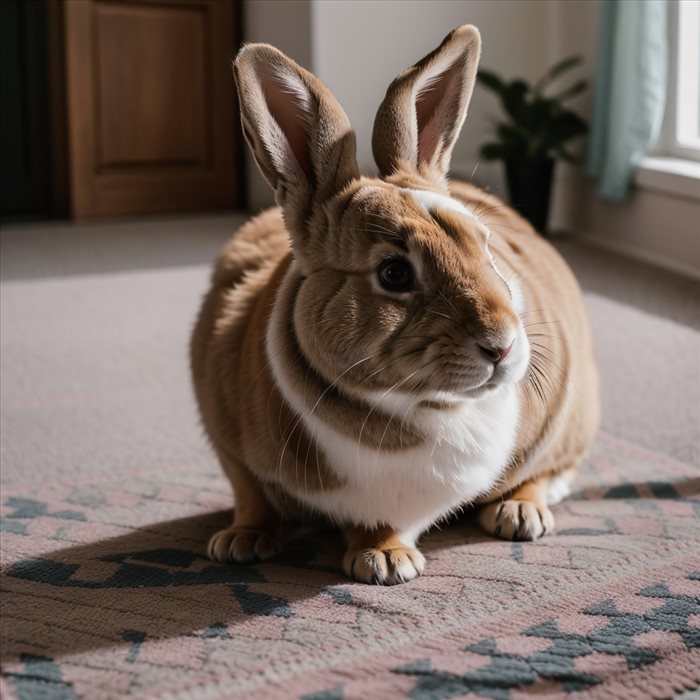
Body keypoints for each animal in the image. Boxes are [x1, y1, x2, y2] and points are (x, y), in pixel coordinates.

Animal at [191, 24, 600, 584]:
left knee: (554, 470)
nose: (502, 346)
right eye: (394, 273)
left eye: (486, 246)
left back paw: (519, 514)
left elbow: (387, 523)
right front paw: (240, 541)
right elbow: (251, 493)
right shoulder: (228, 442)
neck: (412, 406)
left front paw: (384, 560)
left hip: (568, 419)